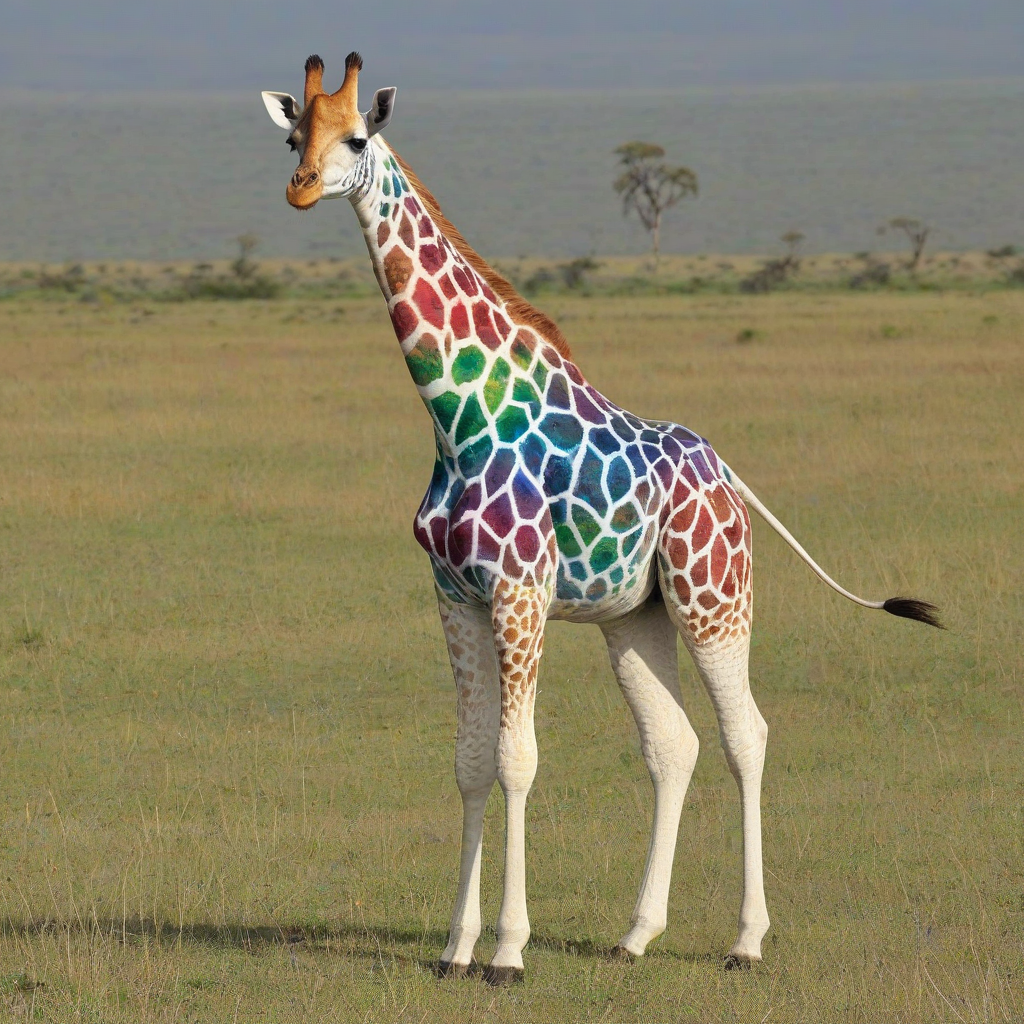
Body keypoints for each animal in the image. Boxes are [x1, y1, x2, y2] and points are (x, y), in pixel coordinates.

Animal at [261, 53, 941, 984]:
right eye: (295, 134)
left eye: (357, 137)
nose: (298, 188)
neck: (456, 418)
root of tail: (727, 475)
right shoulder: (454, 596)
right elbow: (470, 761)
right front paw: (454, 949)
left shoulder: (519, 593)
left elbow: (517, 761)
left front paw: (509, 952)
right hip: (636, 616)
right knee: (674, 744)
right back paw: (635, 935)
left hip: (714, 598)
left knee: (747, 734)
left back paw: (746, 941)